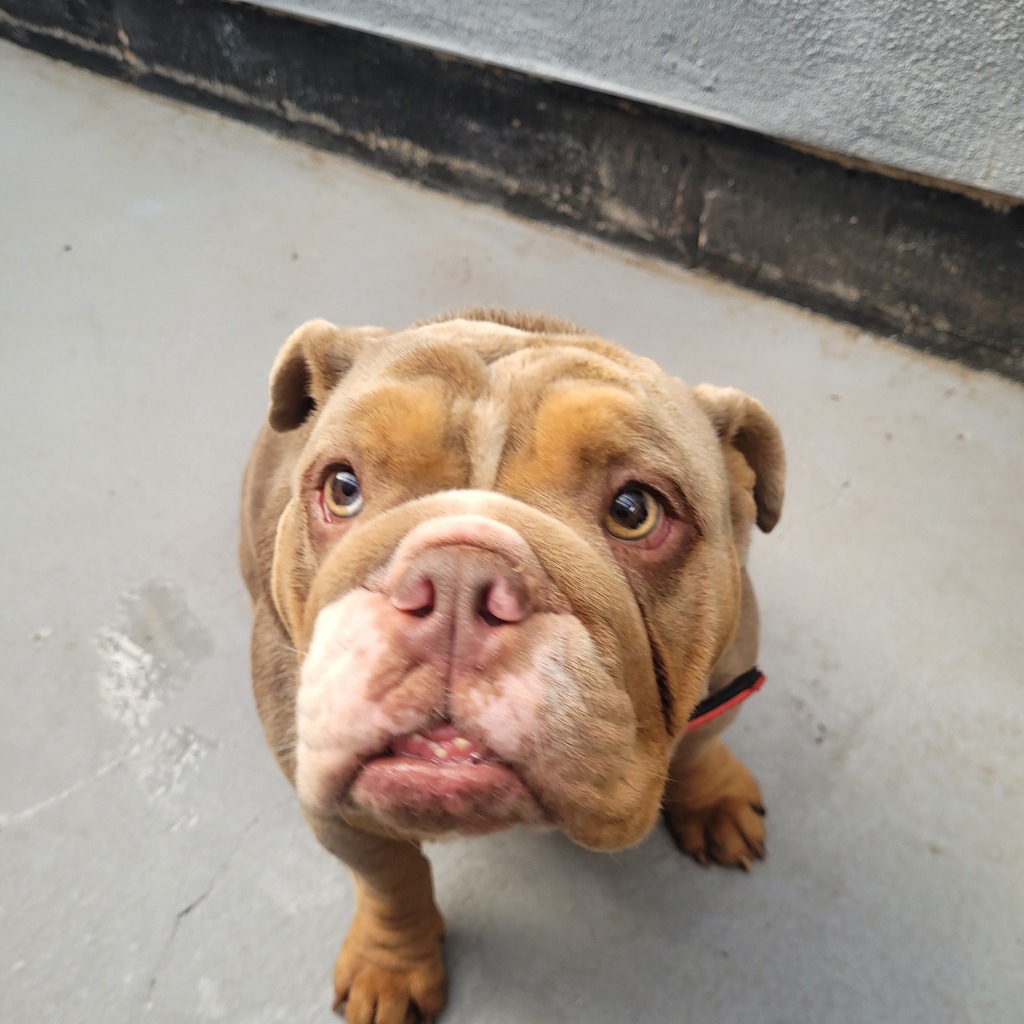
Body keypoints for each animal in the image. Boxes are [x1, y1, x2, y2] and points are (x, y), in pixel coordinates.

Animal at [240, 309, 784, 1023]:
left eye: (635, 511)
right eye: (342, 487)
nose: (458, 577)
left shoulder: (727, 676)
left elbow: (698, 745)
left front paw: (713, 797)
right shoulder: (338, 811)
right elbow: (391, 881)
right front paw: (393, 966)